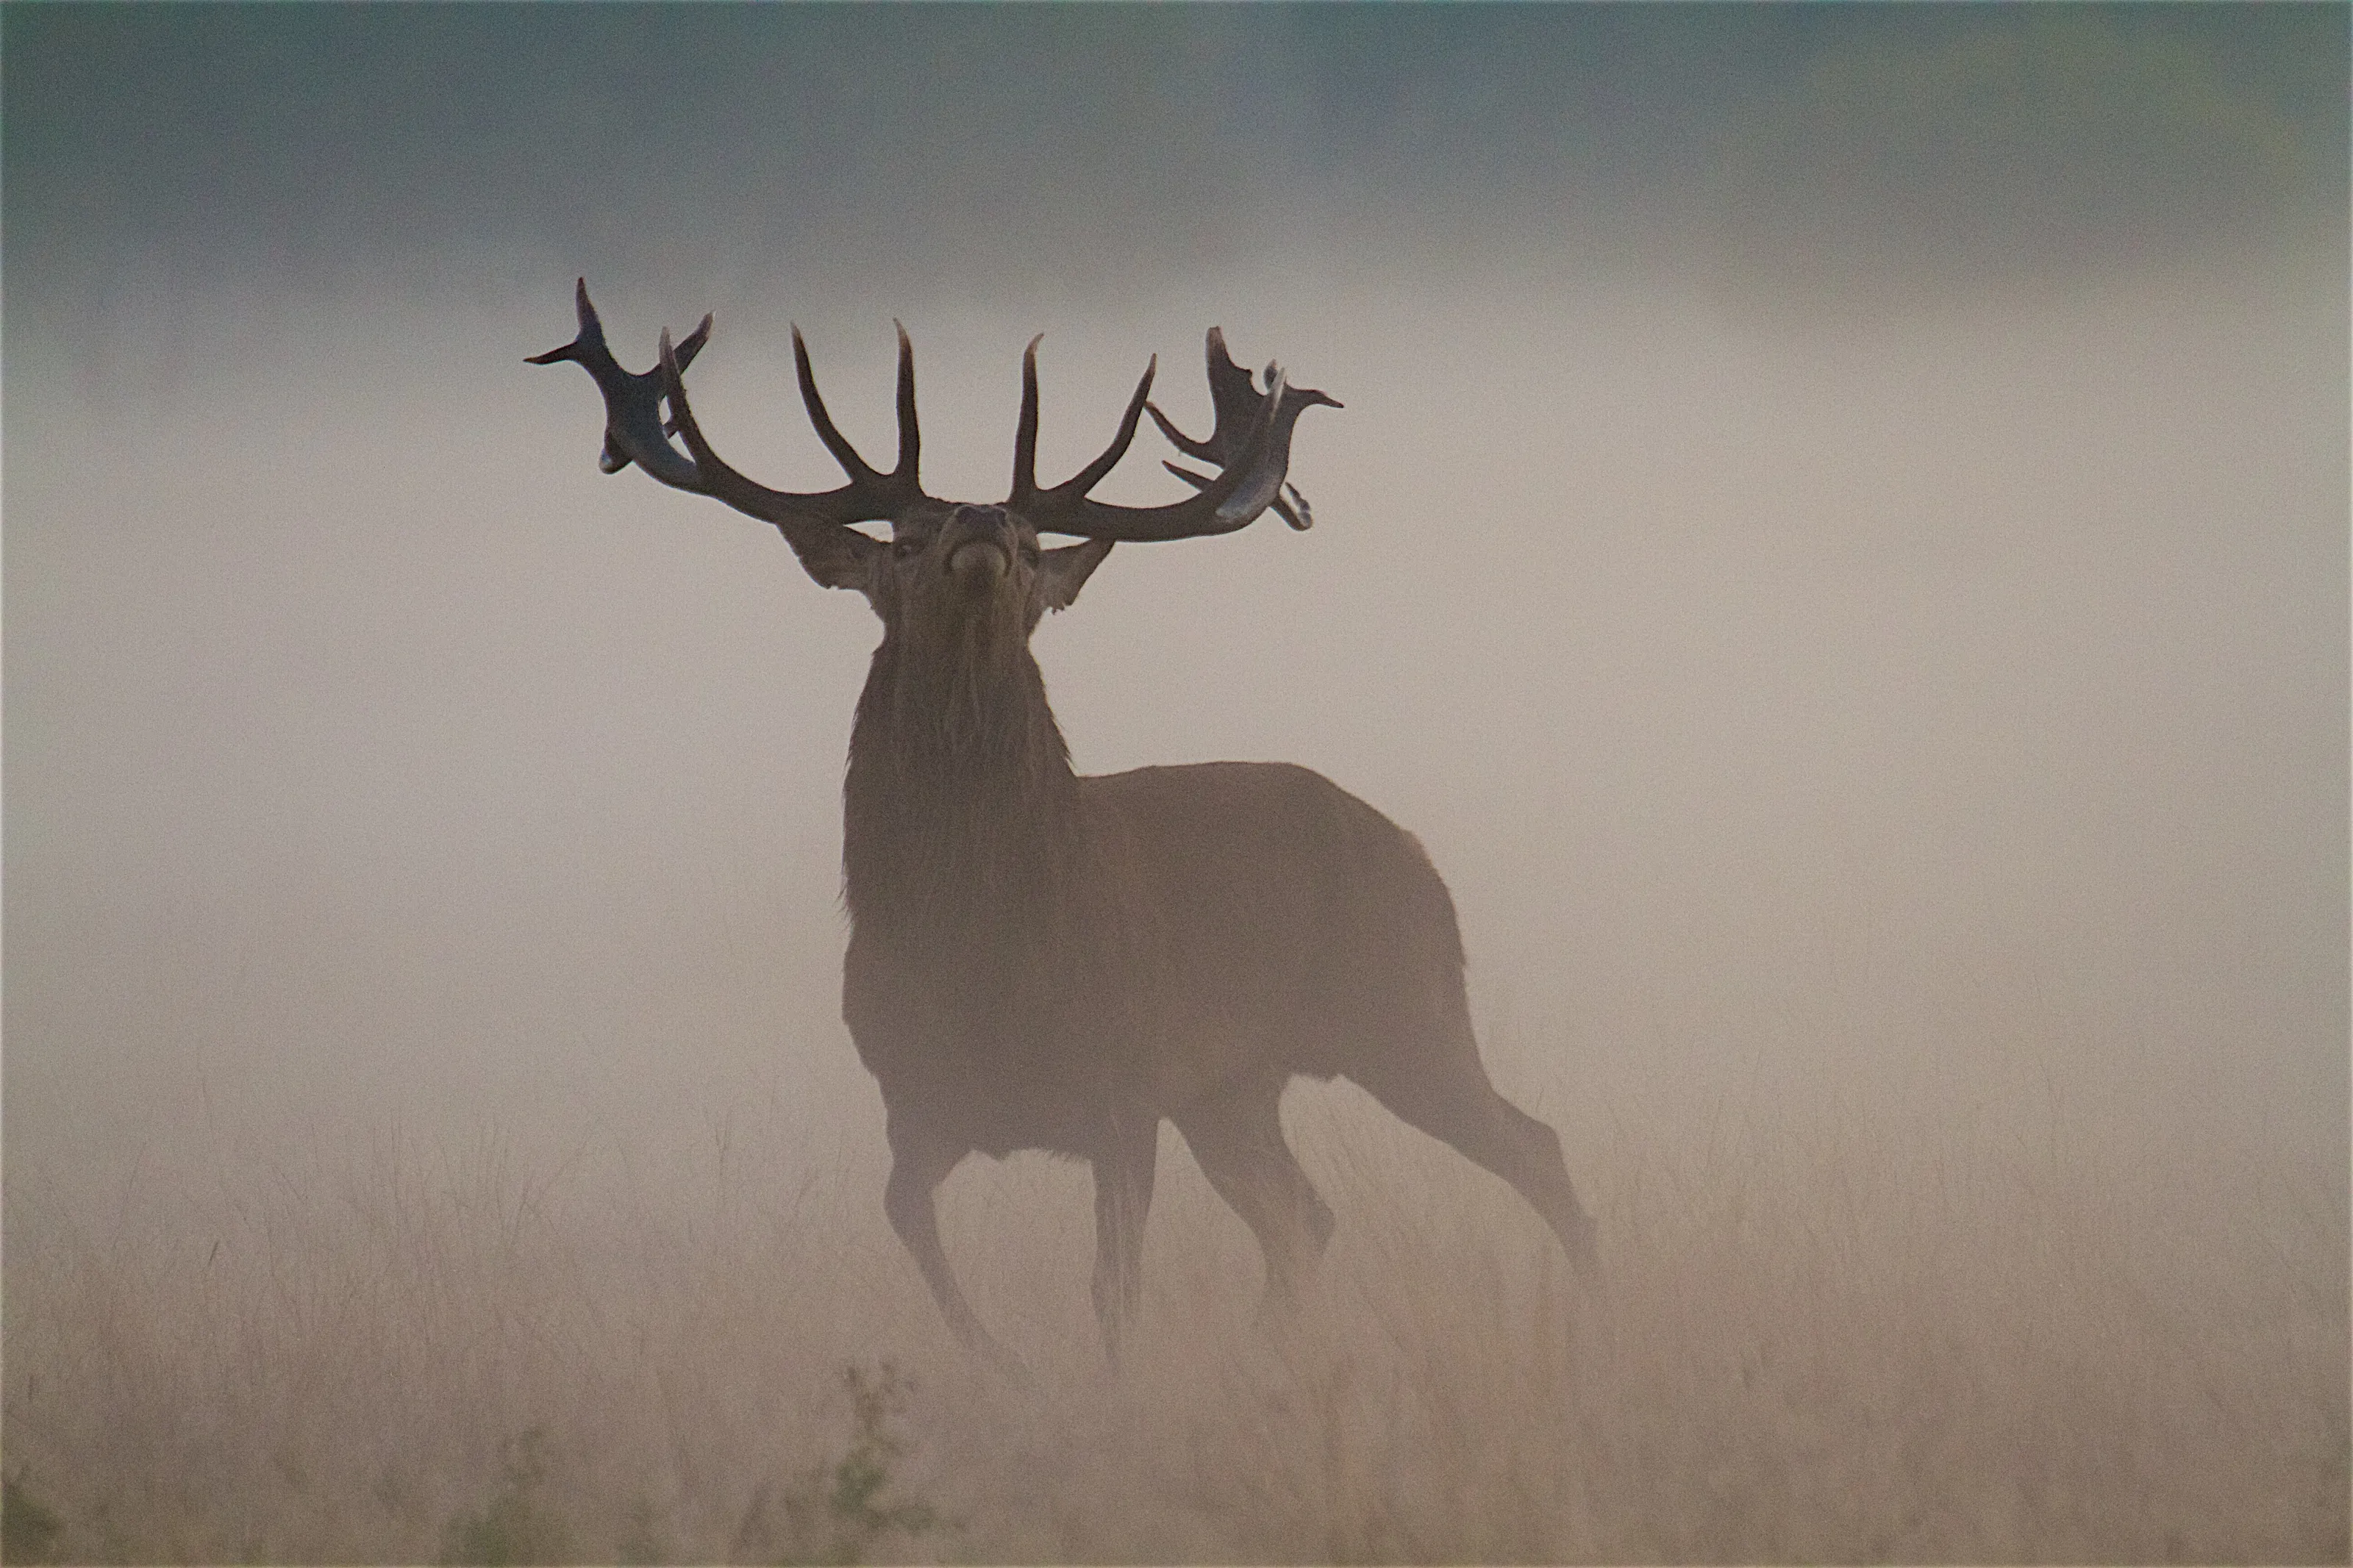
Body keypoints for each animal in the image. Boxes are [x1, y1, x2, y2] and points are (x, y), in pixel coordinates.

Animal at [532, 281, 1601, 1371]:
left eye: (1036, 543)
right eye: (904, 542)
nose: (981, 521)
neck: (977, 954)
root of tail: (1417, 856)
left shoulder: (1122, 1083)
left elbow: (1110, 1290)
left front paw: (1098, 1379)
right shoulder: (915, 1095)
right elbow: (908, 1224)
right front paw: (1003, 1364)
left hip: (1403, 1008)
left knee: (1533, 1148)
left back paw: (1589, 1320)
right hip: (1235, 1086)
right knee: (1304, 1215)